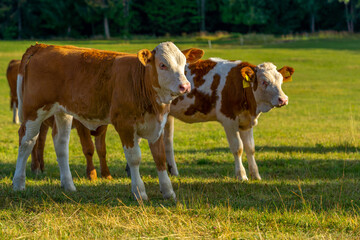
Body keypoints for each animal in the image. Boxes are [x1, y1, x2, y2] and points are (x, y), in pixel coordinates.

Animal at [165, 58, 294, 180]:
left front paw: (256, 175)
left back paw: (173, 172)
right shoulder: (229, 121)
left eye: (280, 81)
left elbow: (250, 148)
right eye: (264, 82)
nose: (283, 99)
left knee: (168, 143)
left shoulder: (246, 123)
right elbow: (238, 148)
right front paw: (241, 175)